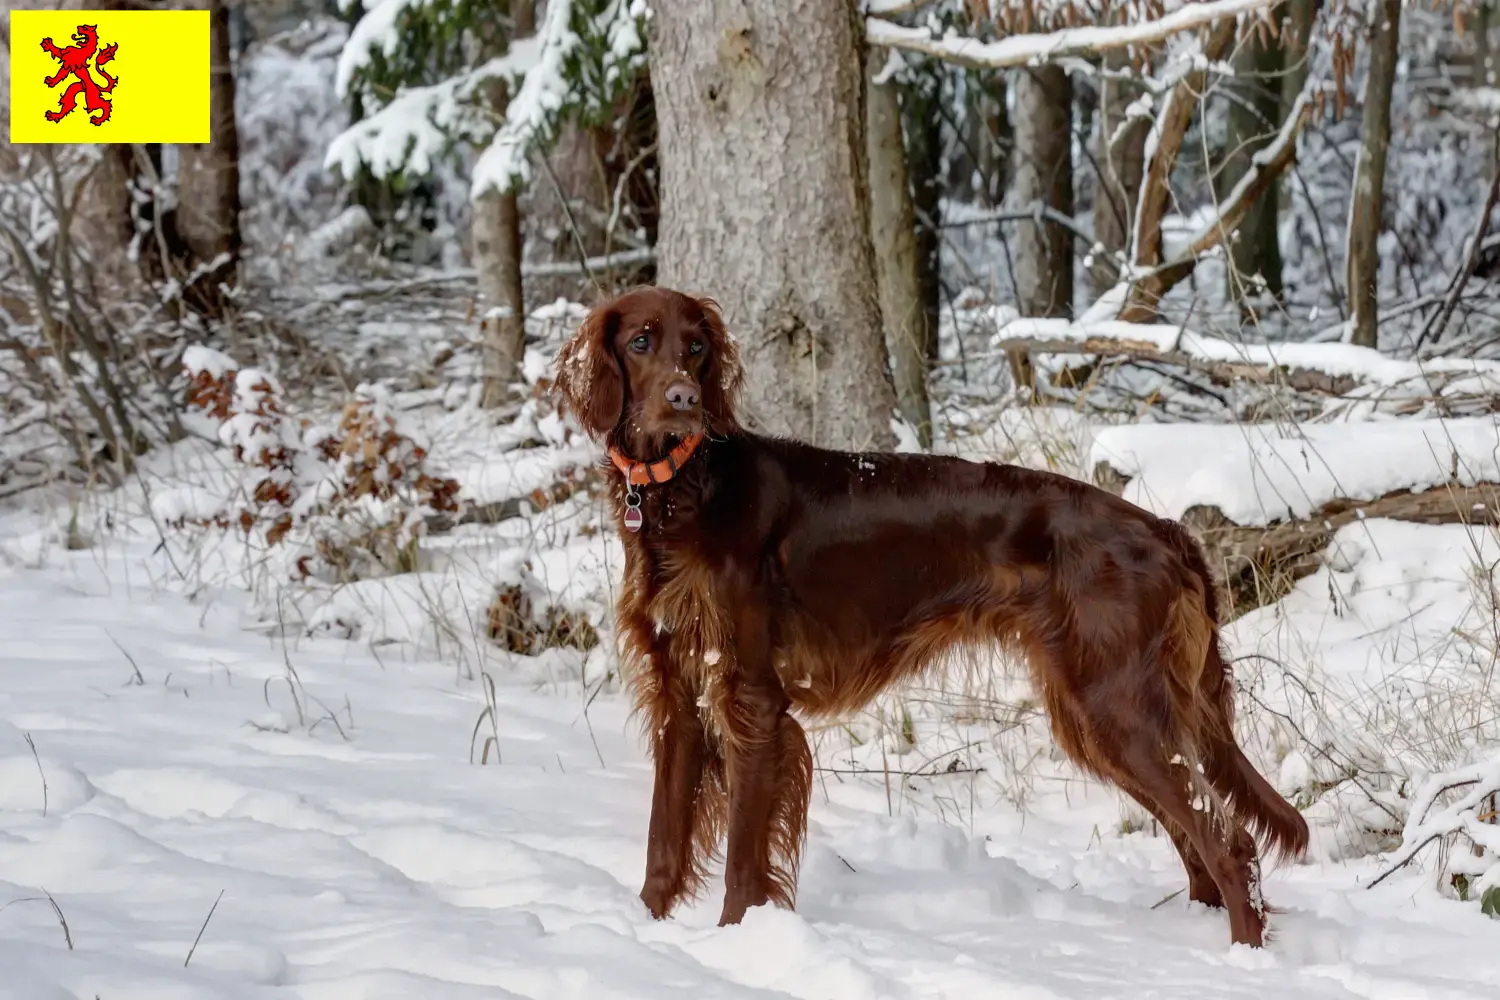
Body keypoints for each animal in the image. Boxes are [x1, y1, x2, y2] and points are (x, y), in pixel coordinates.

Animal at [555, 287, 1314, 947]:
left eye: (697, 346)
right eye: (642, 341)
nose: (684, 401)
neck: (684, 492)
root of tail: (1164, 529)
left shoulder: (751, 700)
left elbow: (744, 857)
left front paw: (738, 942)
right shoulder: (679, 697)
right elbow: (663, 841)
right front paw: (642, 929)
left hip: (1116, 706)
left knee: (1227, 840)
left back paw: (1243, 958)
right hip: (1104, 713)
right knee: (1195, 840)